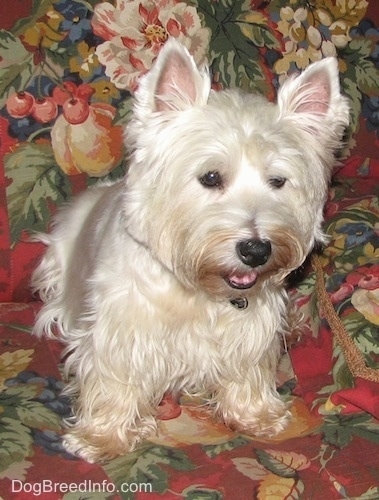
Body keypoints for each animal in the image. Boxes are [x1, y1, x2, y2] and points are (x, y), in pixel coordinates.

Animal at [31, 38, 350, 460]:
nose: (256, 250)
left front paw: (258, 416)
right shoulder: (120, 332)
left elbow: (248, 370)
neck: (201, 291)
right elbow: (114, 380)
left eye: (278, 181)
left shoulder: (252, 330)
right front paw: (101, 437)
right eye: (210, 177)